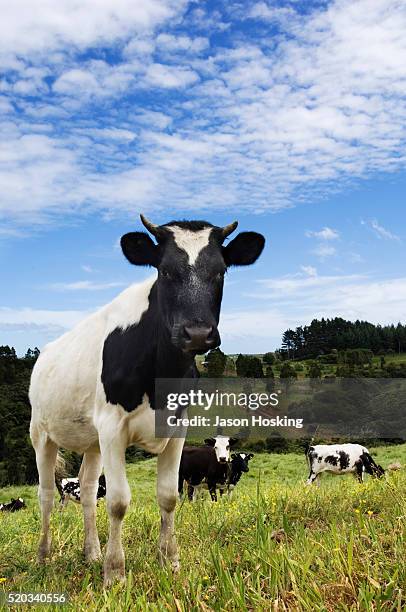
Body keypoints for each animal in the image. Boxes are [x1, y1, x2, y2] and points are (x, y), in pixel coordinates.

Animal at [28, 214, 264, 584]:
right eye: (164, 271)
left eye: (221, 271)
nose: (198, 333)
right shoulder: (113, 427)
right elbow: (118, 501)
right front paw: (115, 573)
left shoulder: (177, 426)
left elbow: (168, 496)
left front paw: (170, 562)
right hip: (41, 433)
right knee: (47, 495)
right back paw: (43, 557)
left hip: (93, 442)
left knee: (87, 489)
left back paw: (92, 553)